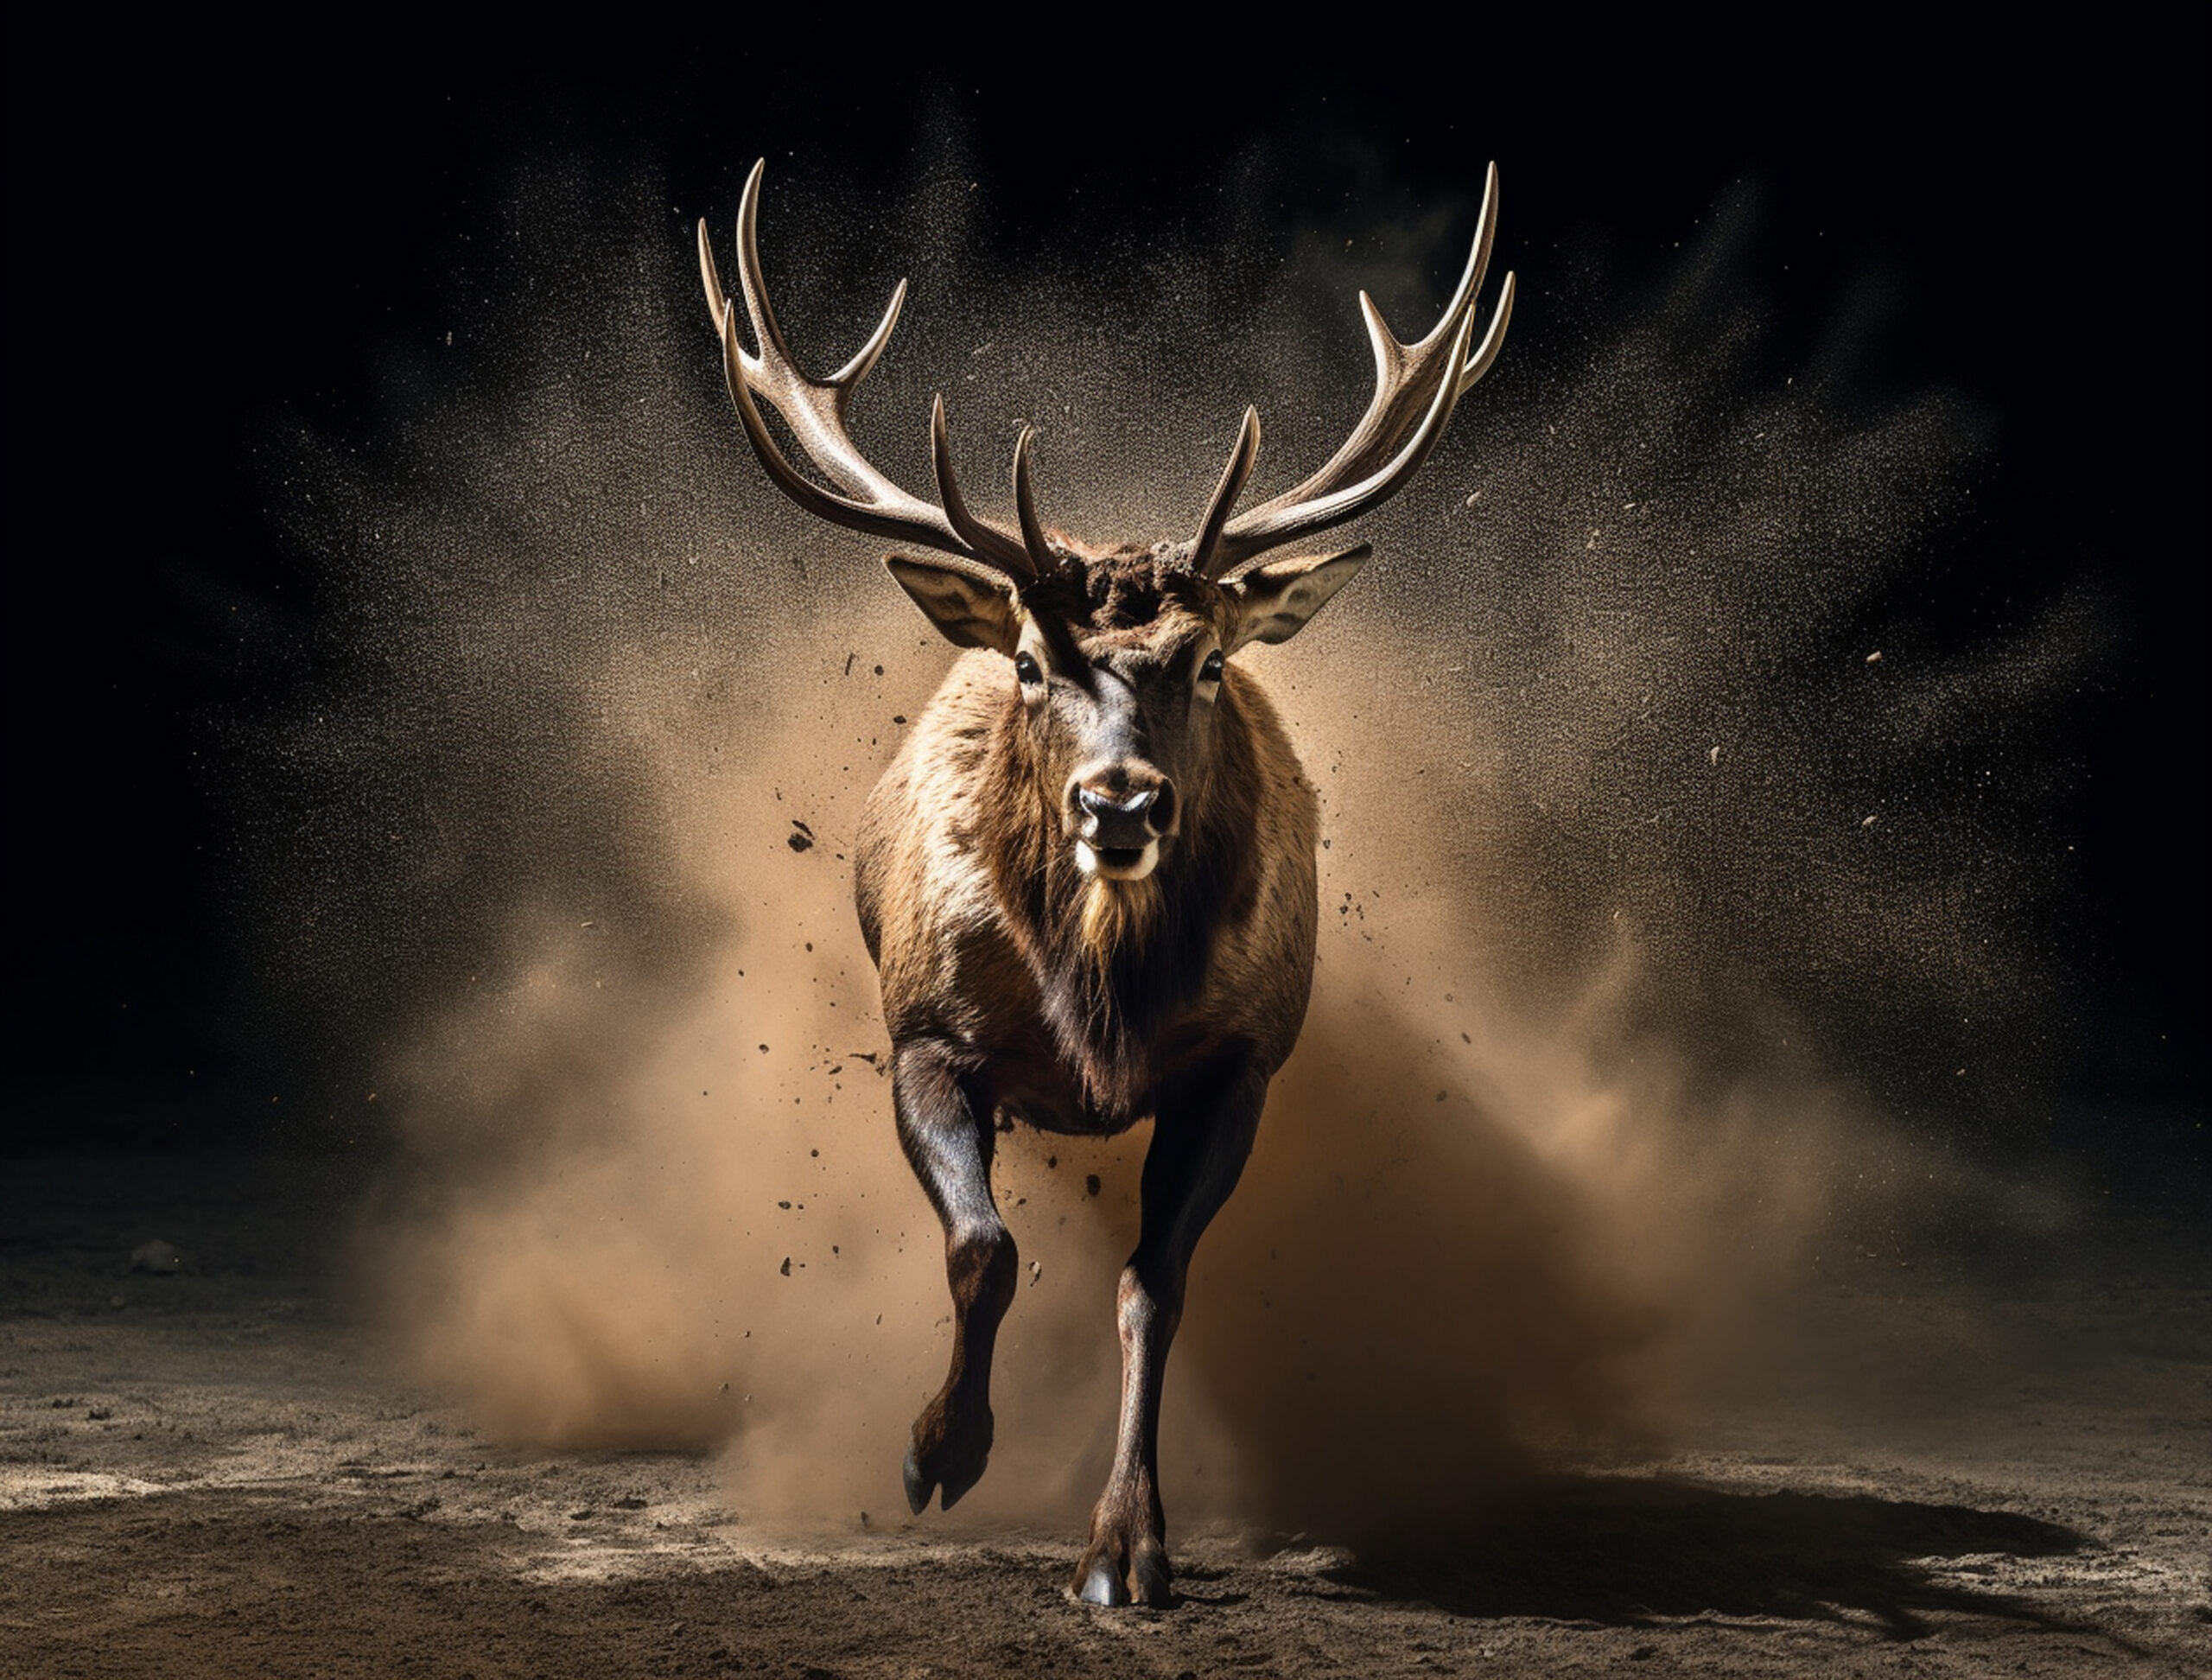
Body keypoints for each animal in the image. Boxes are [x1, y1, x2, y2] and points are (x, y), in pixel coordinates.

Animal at [697, 160, 1512, 1607]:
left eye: (1207, 660)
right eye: (1030, 662)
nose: (1119, 804)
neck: (1098, 1004)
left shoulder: (1242, 1059)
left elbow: (1153, 1286)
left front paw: (1126, 1548)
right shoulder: (922, 1031)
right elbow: (983, 1247)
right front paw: (937, 1453)